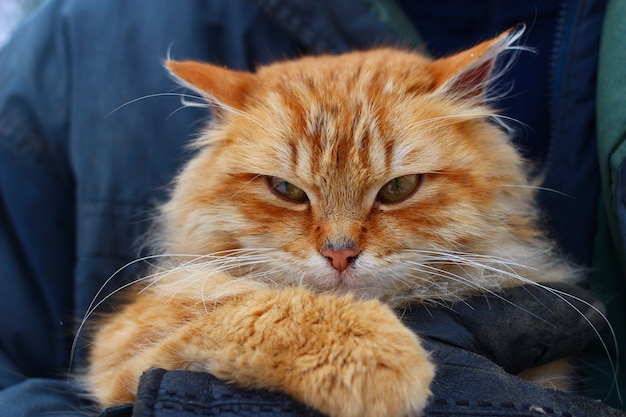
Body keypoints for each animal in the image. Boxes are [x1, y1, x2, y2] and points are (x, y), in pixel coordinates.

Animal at [85, 30, 576, 416]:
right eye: (287, 190)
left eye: (399, 189)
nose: (340, 254)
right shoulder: (127, 347)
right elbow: (261, 307)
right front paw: (376, 360)